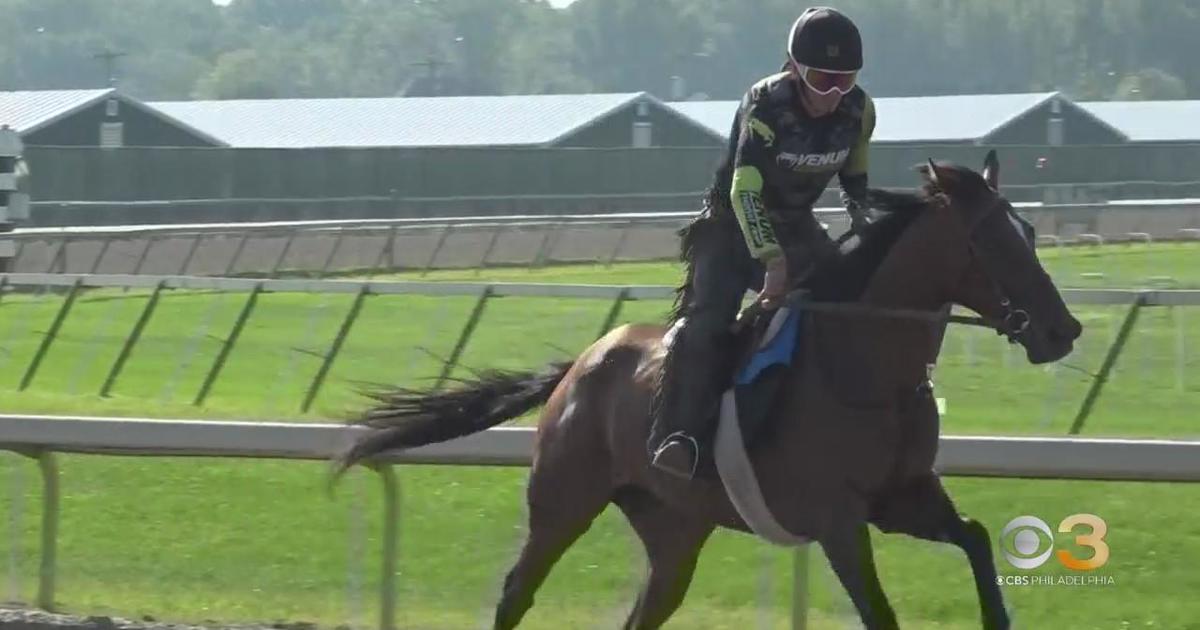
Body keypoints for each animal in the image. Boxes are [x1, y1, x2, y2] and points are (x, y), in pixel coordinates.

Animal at [333, 153, 1084, 628]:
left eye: (1030, 232)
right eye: (993, 244)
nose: (1063, 329)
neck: (865, 367)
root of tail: (581, 363)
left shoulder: (904, 498)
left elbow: (979, 541)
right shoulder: (838, 520)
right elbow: (881, 614)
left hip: (673, 528)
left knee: (645, 611)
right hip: (562, 502)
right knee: (516, 593)